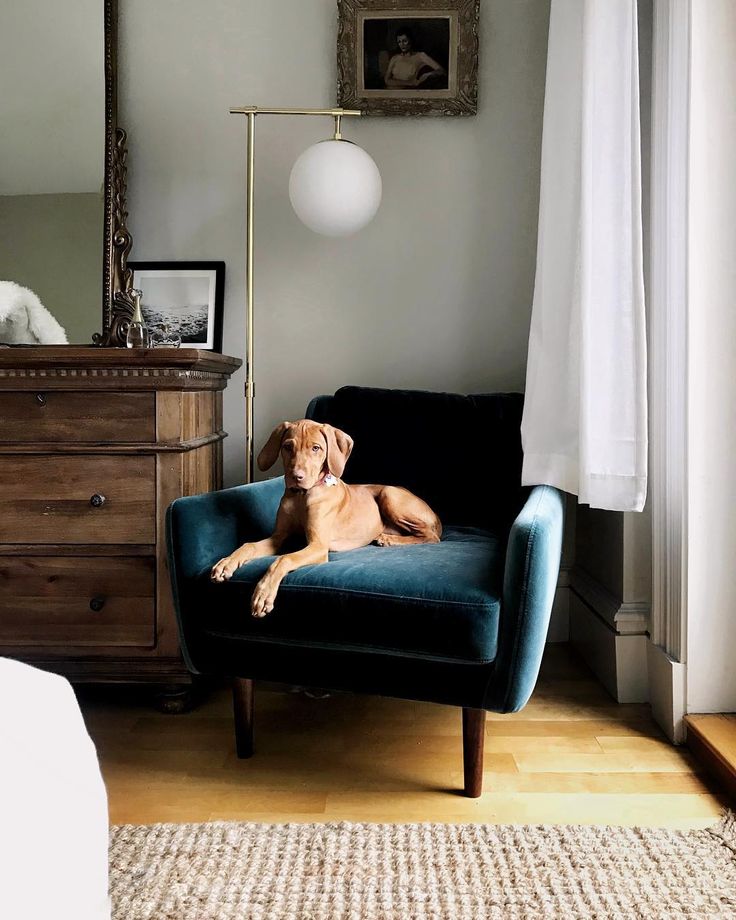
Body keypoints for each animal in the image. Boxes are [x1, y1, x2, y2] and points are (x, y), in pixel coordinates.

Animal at [213, 420, 442, 616]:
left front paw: (263, 593)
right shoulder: (278, 537)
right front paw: (227, 563)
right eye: (287, 446)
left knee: (432, 536)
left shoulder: (318, 546)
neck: (301, 496)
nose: (296, 477)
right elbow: (249, 545)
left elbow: (283, 559)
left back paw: (389, 539)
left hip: (389, 494)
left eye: (316, 448)